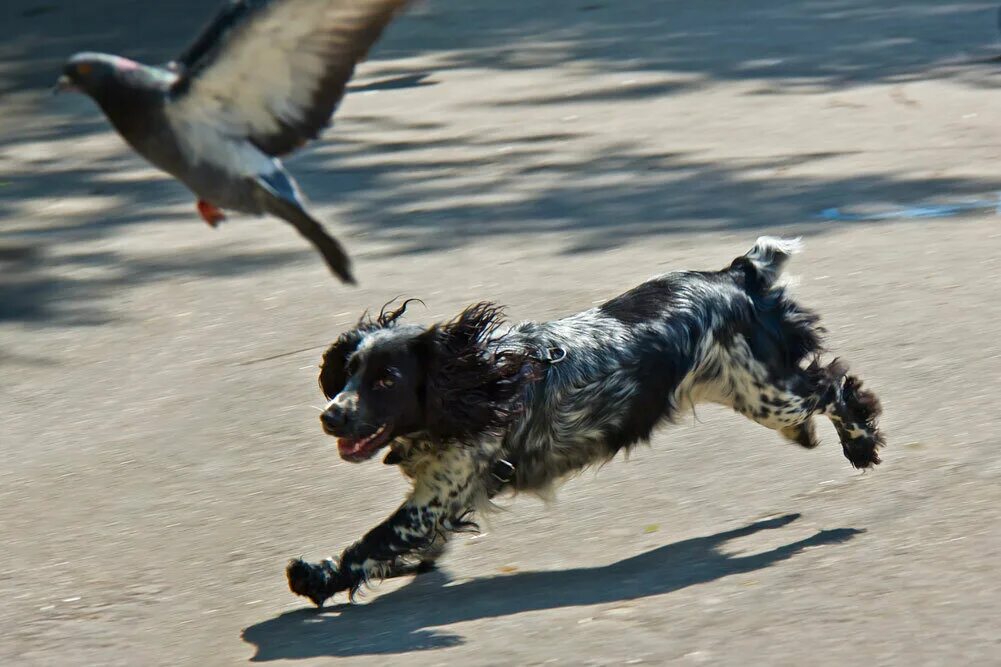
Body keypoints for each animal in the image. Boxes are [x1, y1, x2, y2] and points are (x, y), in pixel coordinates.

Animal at [286, 237, 880, 600]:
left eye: (387, 380)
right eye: (348, 373)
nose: (330, 418)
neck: (483, 376)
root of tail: (734, 275)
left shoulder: (438, 494)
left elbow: (373, 542)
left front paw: (314, 576)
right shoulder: (442, 495)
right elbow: (400, 547)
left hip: (765, 393)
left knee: (833, 386)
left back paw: (861, 444)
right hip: (754, 393)